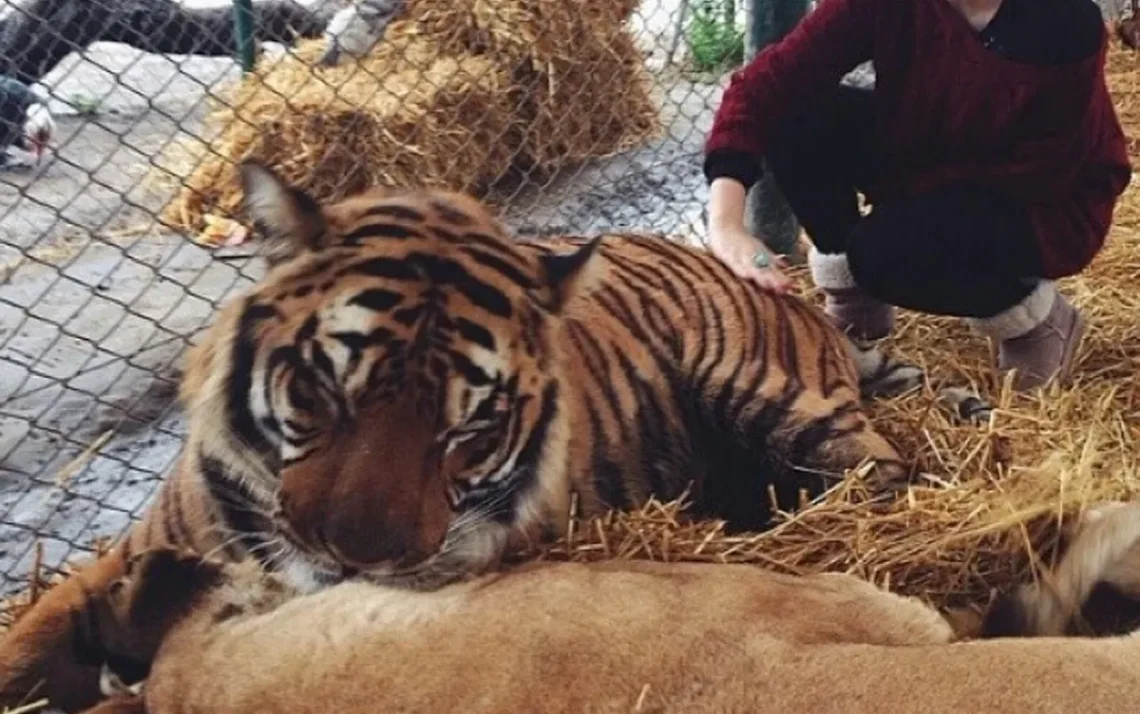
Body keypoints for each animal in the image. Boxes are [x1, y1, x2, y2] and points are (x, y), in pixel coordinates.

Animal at [0, 158, 980, 707]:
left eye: (471, 430)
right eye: (325, 387)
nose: (355, 561)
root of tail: (791, 297)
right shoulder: (134, 552)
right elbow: (31, 636)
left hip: (775, 399)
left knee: (880, 476)